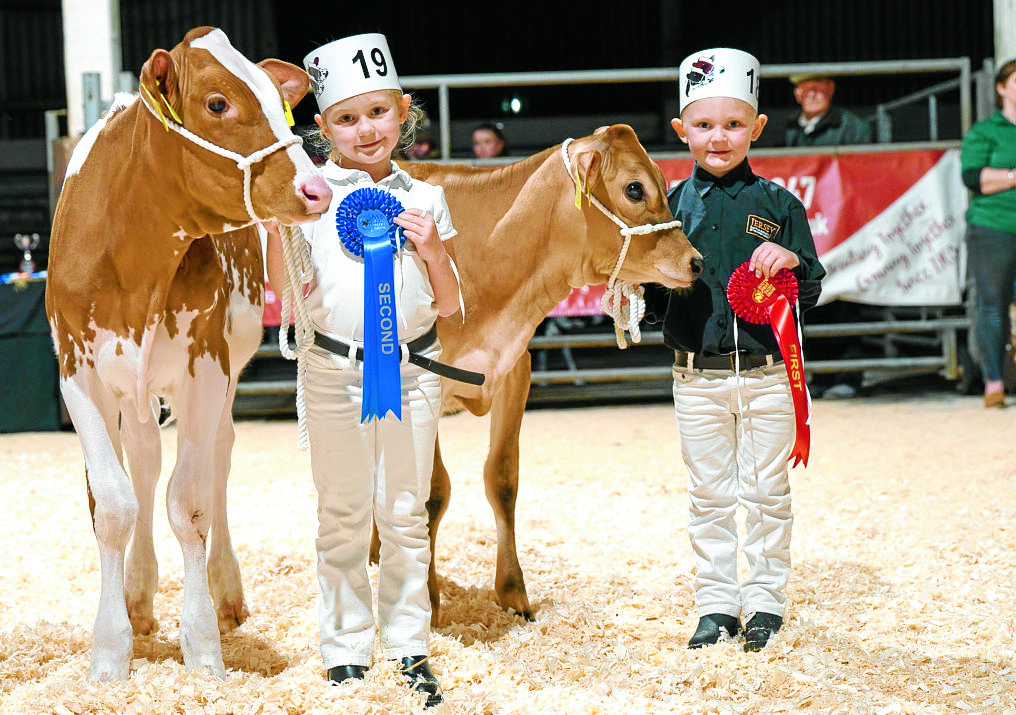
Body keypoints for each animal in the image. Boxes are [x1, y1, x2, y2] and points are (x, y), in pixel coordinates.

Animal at [44, 25, 329, 678]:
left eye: (279, 102)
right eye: (217, 103)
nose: (316, 188)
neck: (135, 262)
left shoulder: (206, 367)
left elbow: (190, 504)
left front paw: (201, 647)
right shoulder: (78, 372)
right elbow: (113, 504)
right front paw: (110, 650)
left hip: (221, 373)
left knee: (216, 457)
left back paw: (224, 591)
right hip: (132, 386)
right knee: (145, 457)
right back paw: (138, 593)